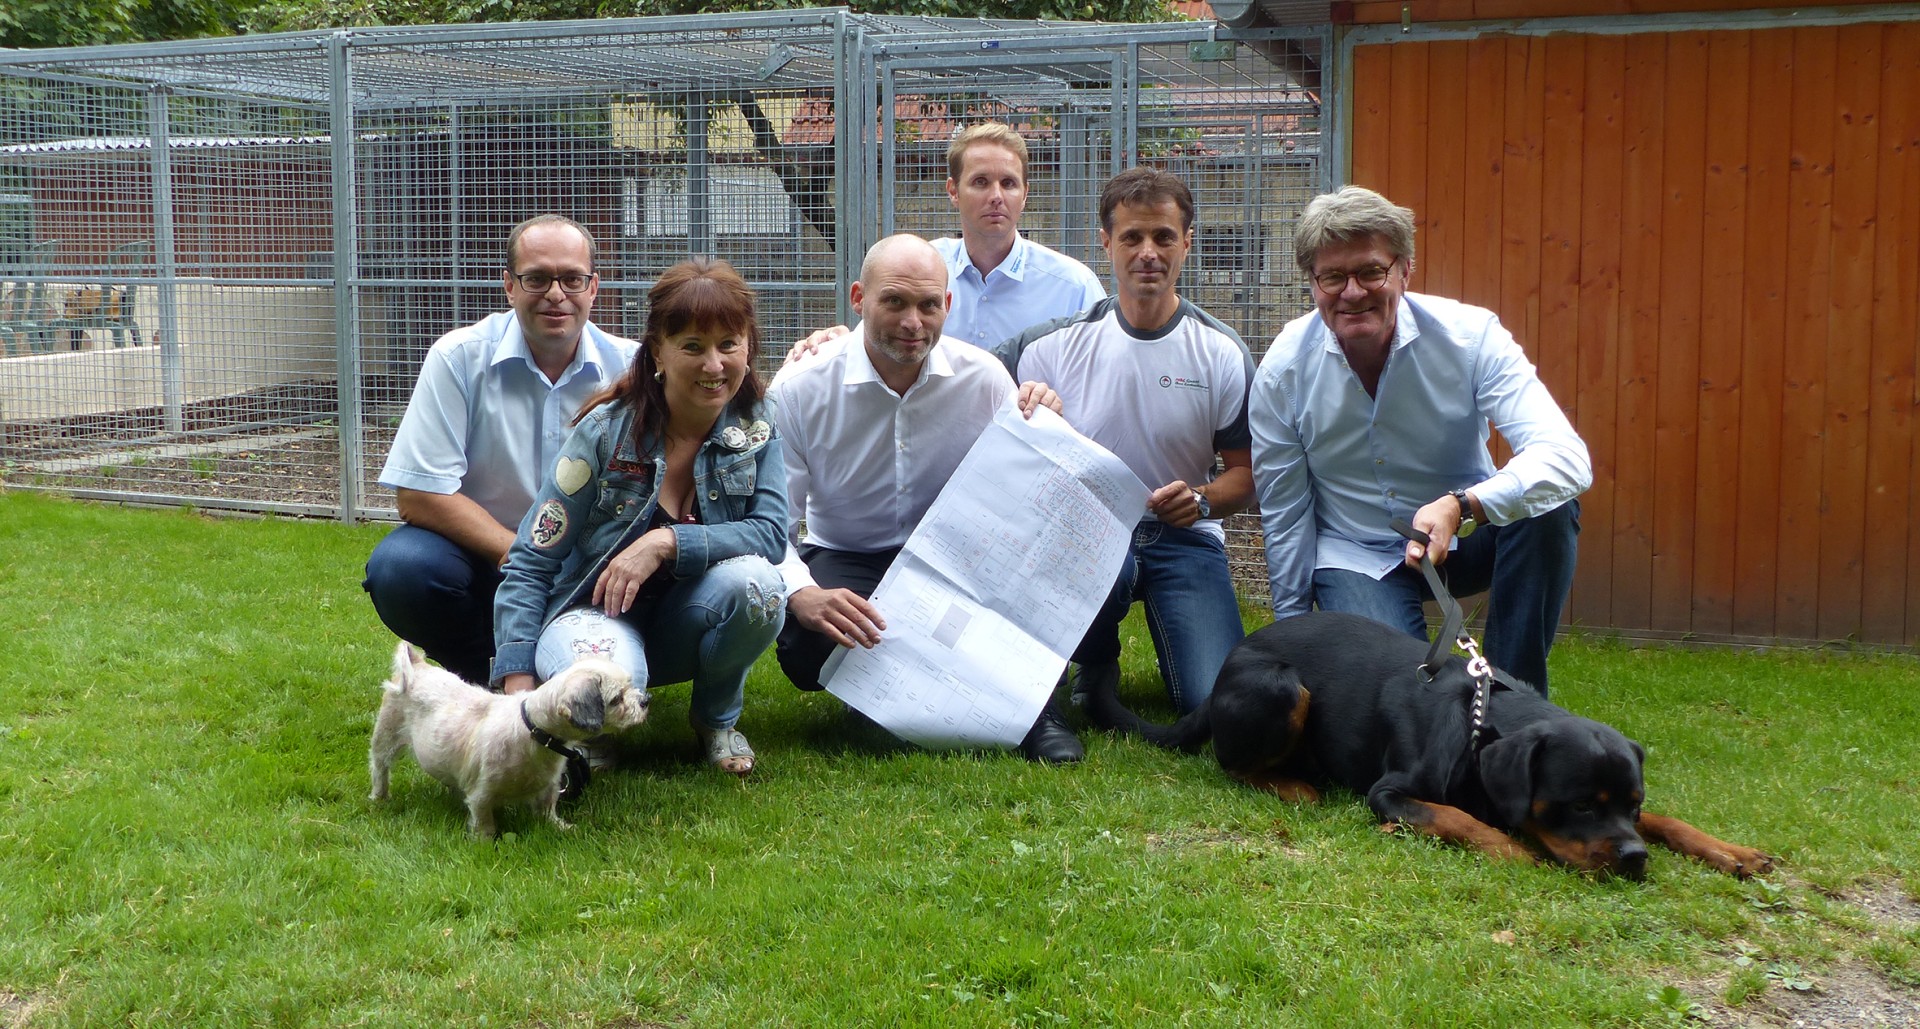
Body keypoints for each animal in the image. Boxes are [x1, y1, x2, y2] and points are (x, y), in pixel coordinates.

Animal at [369, 643, 647, 838]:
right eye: (616, 699)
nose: (646, 701)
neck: (534, 732)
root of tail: (417, 666)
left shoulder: (549, 786)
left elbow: (548, 808)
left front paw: (558, 827)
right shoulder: (482, 793)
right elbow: (483, 821)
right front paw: (484, 842)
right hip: (386, 736)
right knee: (380, 767)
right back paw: (379, 797)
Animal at [1085, 611, 1773, 880]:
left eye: (1632, 803)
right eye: (1579, 805)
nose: (1633, 859)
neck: (1482, 726)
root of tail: (1224, 672)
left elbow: (1672, 819)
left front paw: (1730, 851)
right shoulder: (1388, 792)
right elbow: (1457, 817)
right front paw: (1509, 848)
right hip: (1282, 688)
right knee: (1230, 764)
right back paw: (1294, 785)